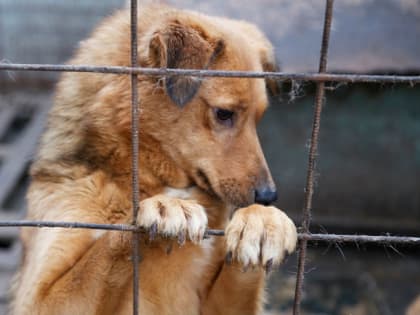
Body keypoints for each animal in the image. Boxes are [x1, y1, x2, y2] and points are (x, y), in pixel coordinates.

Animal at [11, 4, 296, 315]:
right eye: (224, 114)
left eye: (259, 119)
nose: (269, 196)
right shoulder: (37, 298)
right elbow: (106, 245)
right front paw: (169, 207)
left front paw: (263, 222)